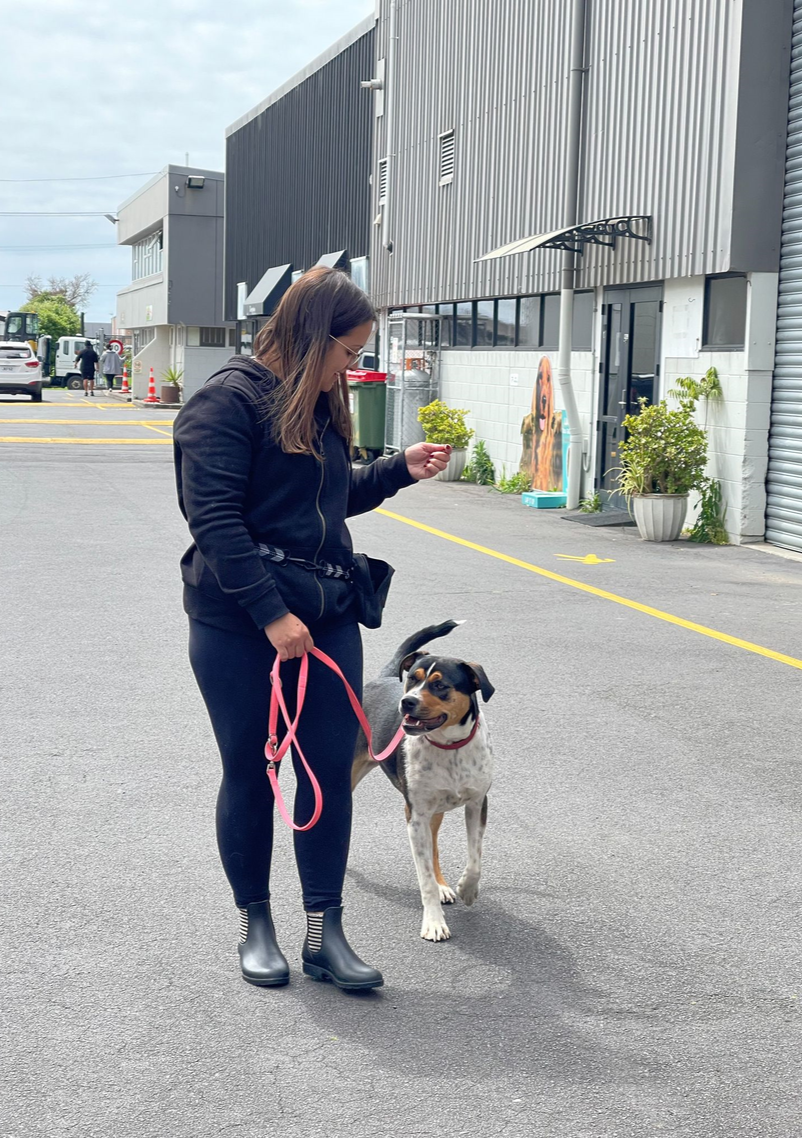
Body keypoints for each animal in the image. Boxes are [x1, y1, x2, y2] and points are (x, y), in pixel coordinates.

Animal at [352, 621, 494, 942]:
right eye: (413, 680)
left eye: (440, 685)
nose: (407, 702)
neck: (449, 747)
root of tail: (381, 679)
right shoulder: (415, 815)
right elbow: (424, 877)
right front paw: (433, 922)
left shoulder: (477, 804)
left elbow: (474, 858)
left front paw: (467, 888)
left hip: (435, 811)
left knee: (435, 850)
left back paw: (444, 886)